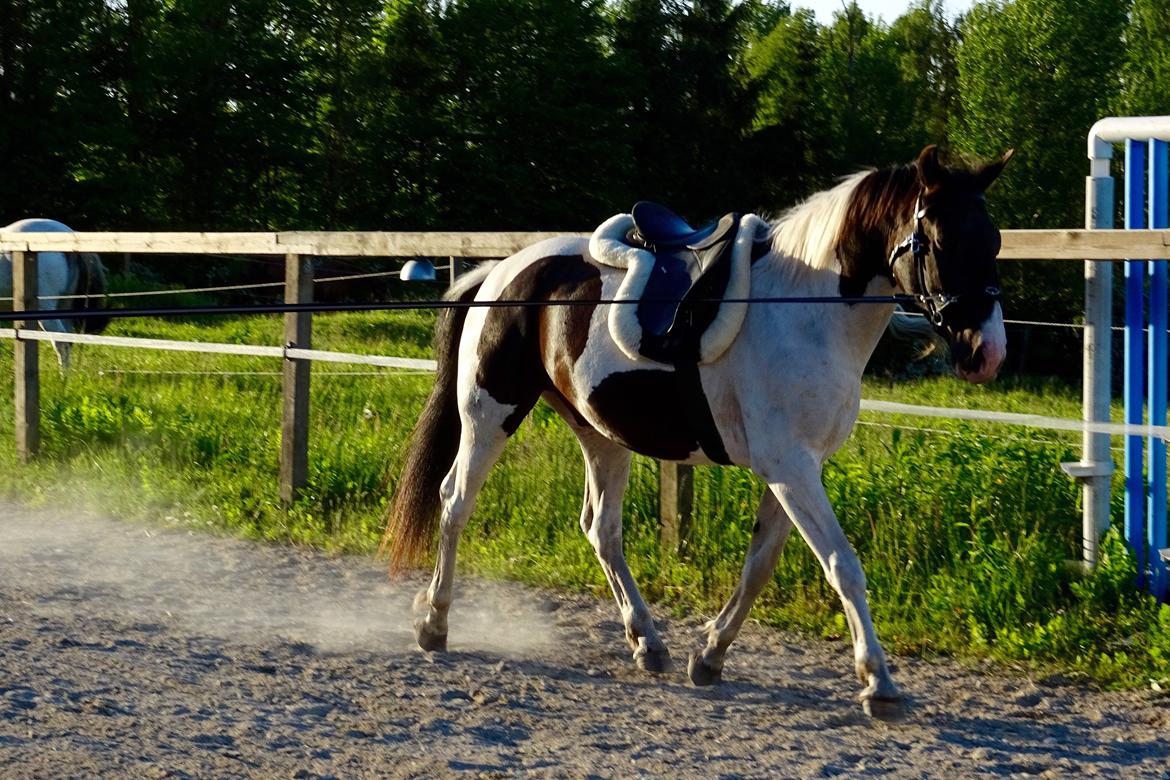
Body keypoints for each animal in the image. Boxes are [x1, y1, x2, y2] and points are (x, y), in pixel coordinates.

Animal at [388, 146, 1010, 720]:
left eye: (994, 241)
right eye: (939, 241)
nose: (987, 354)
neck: (806, 311)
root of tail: (499, 271)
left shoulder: (793, 468)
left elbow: (759, 566)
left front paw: (709, 656)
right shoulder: (791, 468)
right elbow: (842, 565)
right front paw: (879, 682)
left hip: (600, 433)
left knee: (600, 528)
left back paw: (647, 642)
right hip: (490, 413)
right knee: (455, 502)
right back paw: (434, 622)